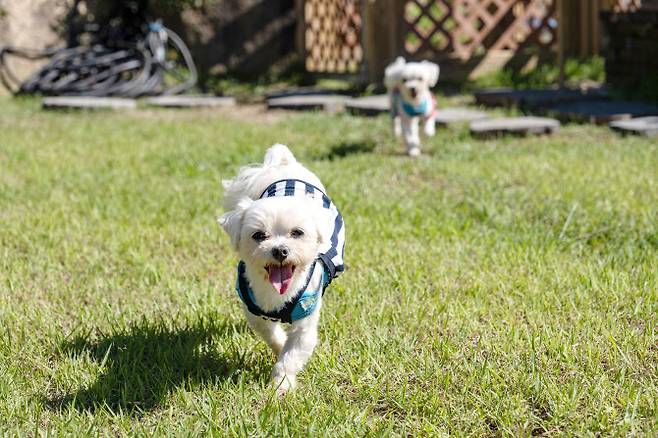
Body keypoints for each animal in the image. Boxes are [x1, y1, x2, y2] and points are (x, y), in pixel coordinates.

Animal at [219, 145, 346, 396]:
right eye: (259, 235)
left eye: (297, 232)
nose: (280, 250)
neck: (278, 294)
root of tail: (281, 166)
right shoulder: (253, 309)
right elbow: (271, 334)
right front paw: (279, 347)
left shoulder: (306, 320)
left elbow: (292, 354)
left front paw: (281, 385)